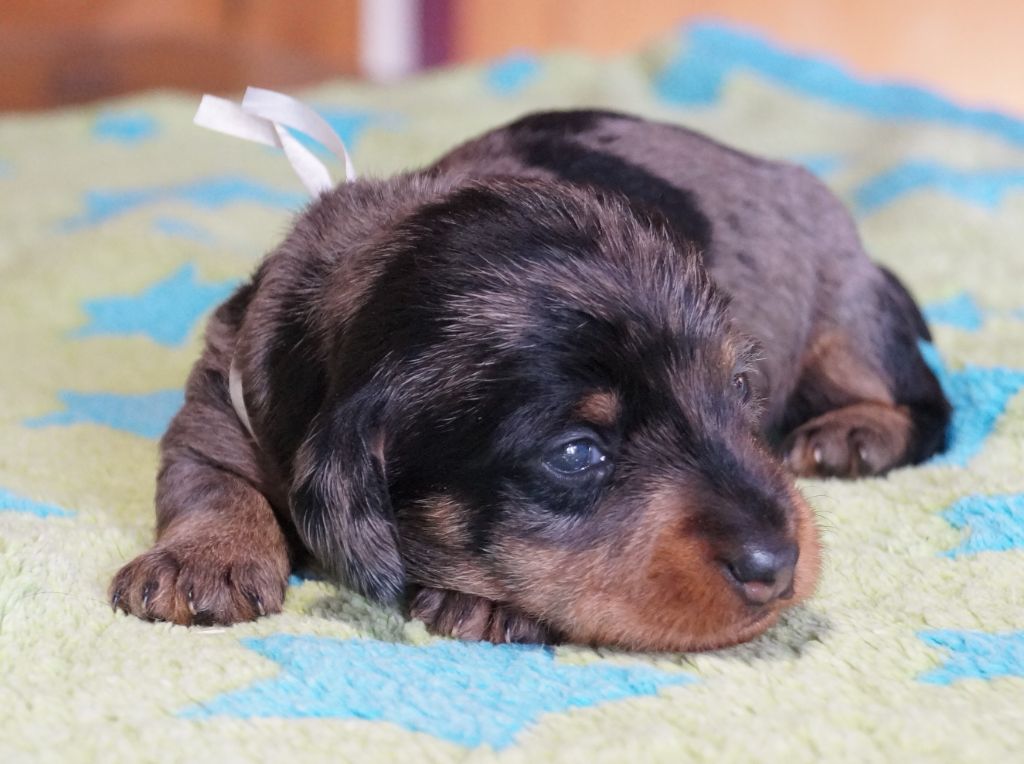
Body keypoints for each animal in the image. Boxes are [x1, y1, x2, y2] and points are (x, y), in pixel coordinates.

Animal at [108, 111, 946, 647]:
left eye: (741, 390)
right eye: (577, 453)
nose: (779, 565)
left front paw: (487, 606)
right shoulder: (224, 398)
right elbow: (208, 480)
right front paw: (203, 560)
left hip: (843, 301)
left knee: (923, 401)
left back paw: (854, 431)